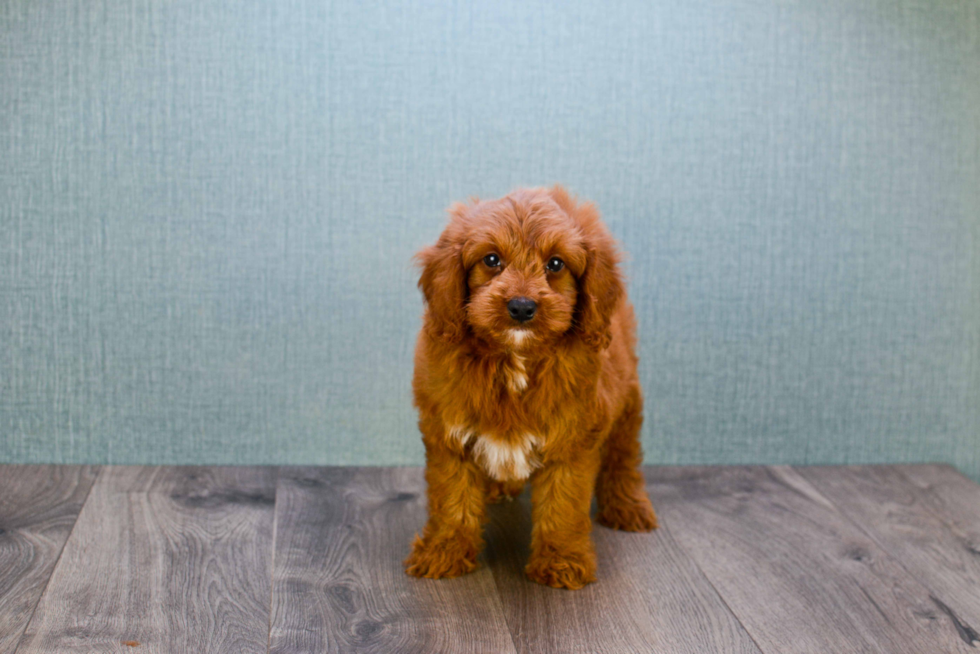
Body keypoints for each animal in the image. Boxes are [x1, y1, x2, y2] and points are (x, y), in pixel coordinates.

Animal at [406, 187, 660, 592]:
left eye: (555, 264)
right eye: (491, 260)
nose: (522, 307)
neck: (515, 358)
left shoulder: (571, 439)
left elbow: (563, 505)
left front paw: (561, 561)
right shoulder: (448, 431)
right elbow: (452, 500)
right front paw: (443, 553)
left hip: (627, 401)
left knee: (624, 457)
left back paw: (628, 506)